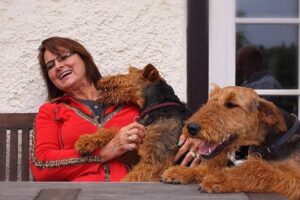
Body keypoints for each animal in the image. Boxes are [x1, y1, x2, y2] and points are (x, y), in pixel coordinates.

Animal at [162, 85, 300, 200]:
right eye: (211, 101)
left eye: (232, 104)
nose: (191, 127)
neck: (272, 142)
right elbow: (213, 168)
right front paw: (180, 172)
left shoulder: (294, 179)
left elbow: (259, 170)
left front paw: (217, 180)